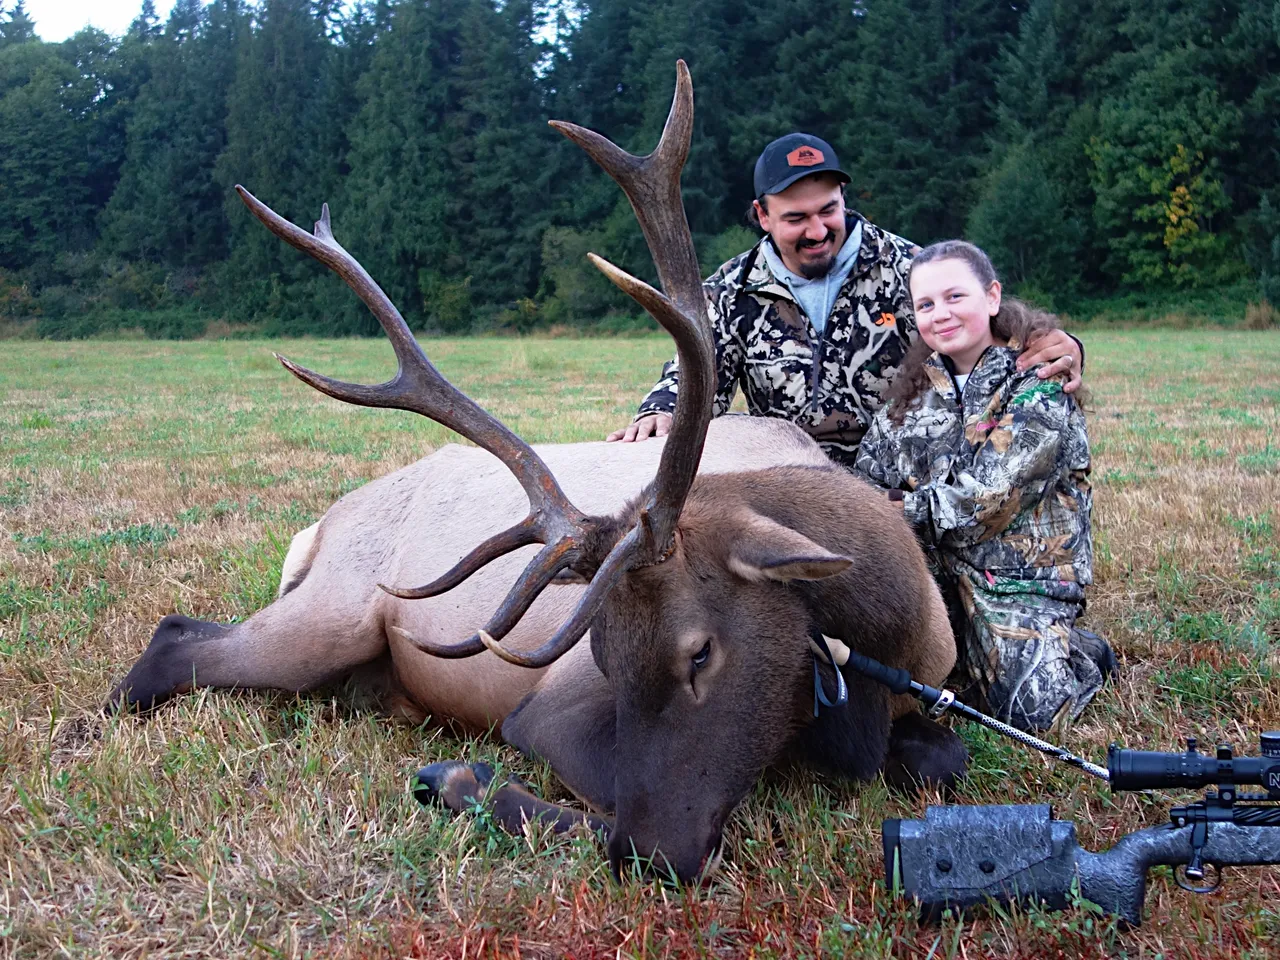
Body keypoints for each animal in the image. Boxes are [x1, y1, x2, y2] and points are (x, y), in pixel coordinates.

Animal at [108, 63, 967, 883]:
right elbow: (591, 787)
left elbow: (942, 760)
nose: (654, 855)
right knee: (181, 636)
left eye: (699, 653)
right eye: (607, 659)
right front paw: (464, 780)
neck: (896, 633)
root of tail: (320, 526)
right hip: (331, 615)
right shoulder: (546, 707)